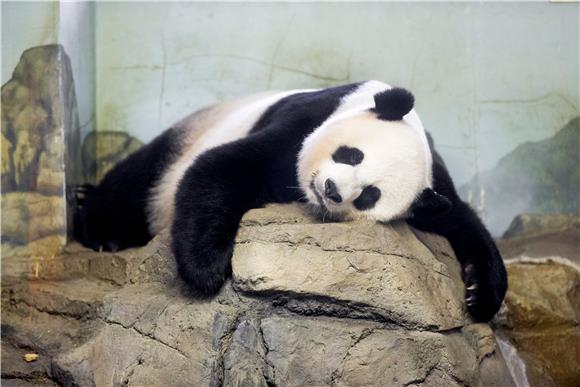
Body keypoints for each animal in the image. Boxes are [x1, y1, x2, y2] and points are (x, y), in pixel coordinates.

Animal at [76, 82, 508, 324]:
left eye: (369, 195)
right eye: (352, 155)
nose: (332, 189)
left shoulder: (433, 183)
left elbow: (462, 220)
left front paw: (480, 295)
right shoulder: (307, 119)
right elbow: (222, 168)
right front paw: (207, 269)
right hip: (182, 143)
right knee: (138, 182)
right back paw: (99, 230)